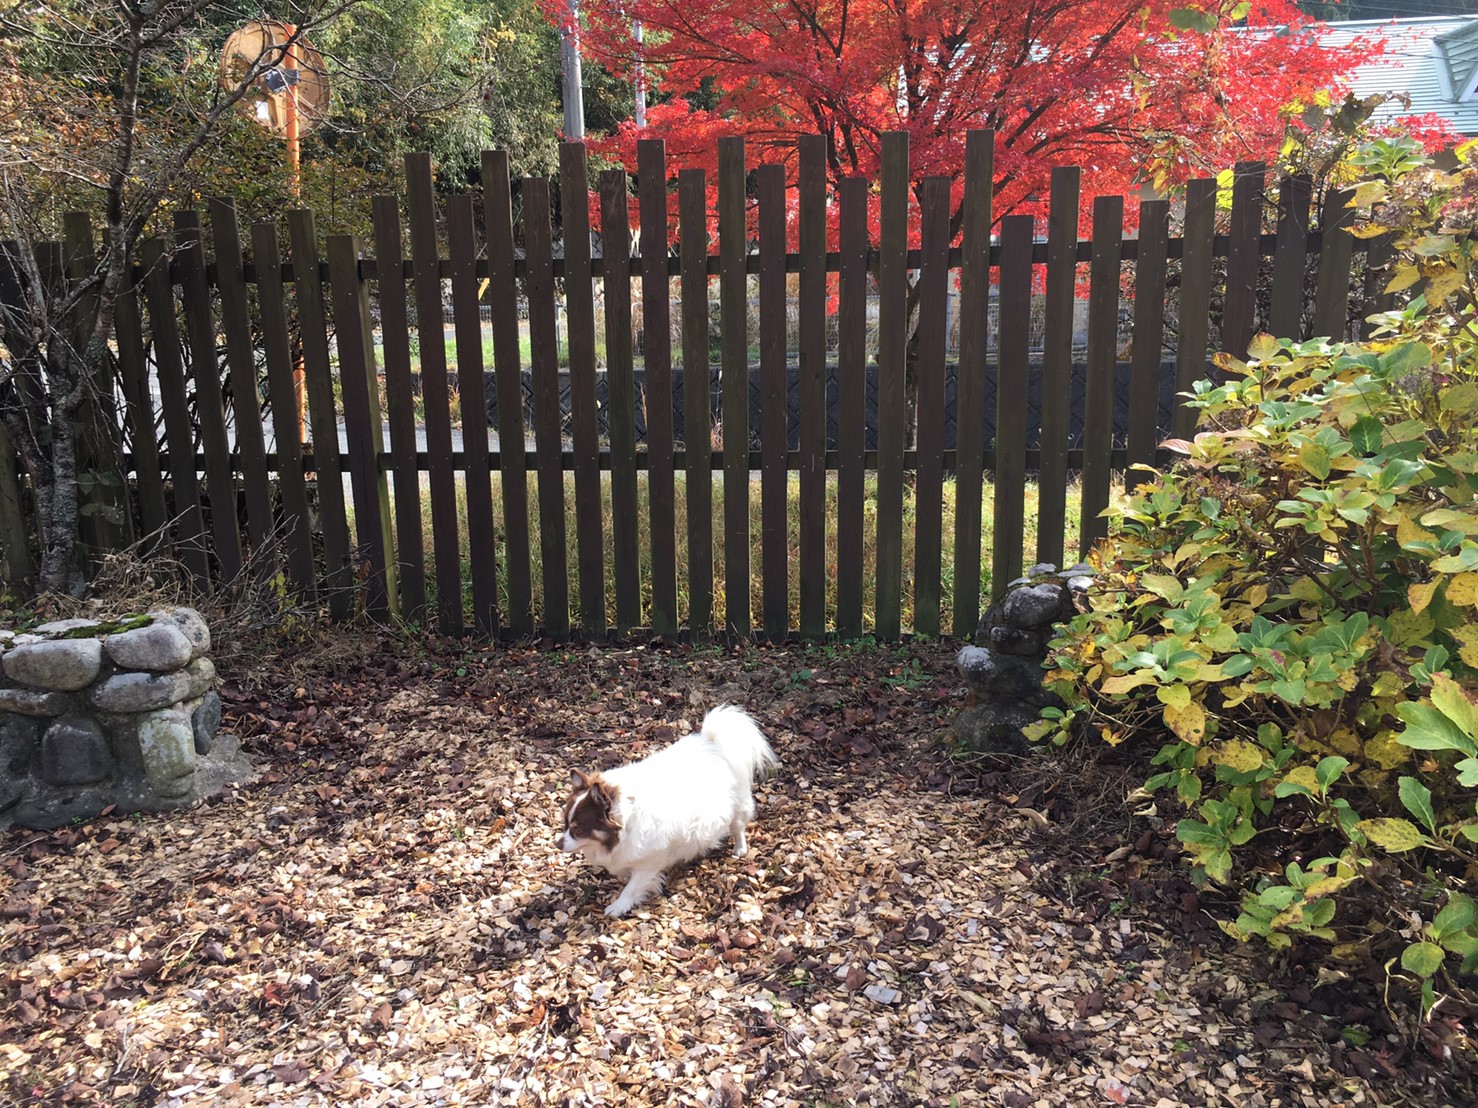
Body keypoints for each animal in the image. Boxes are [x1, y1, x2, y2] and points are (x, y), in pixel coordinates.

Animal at [555, 712, 786, 921]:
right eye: (565, 824)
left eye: (578, 830)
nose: (558, 844)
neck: (626, 822)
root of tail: (711, 743)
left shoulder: (649, 863)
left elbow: (632, 887)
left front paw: (618, 906)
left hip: (737, 808)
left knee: (738, 828)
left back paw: (739, 849)